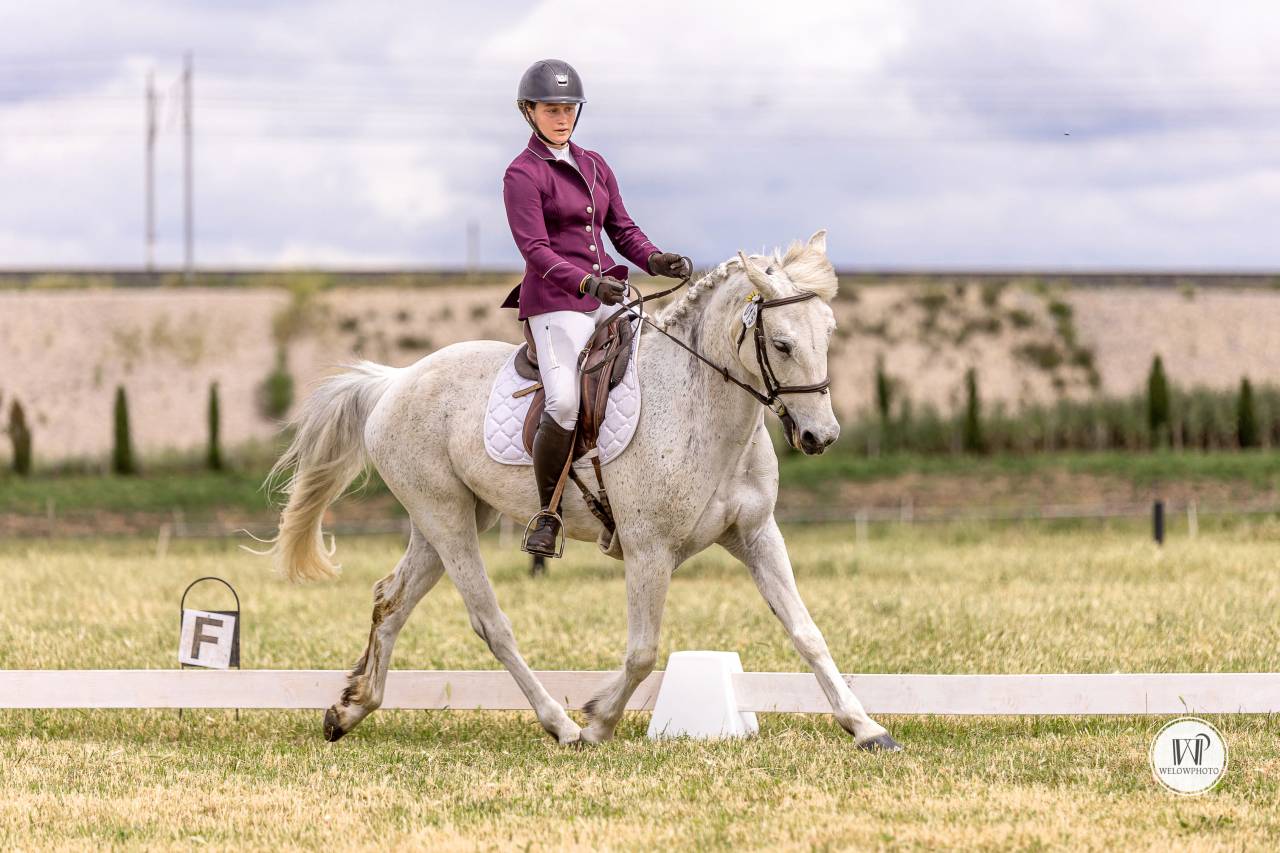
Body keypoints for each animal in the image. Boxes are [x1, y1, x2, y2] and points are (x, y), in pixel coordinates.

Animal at [252, 229, 902, 751]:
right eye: (783, 344)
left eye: (830, 333)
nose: (821, 436)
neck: (701, 406)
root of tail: (395, 379)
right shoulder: (648, 549)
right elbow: (642, 652)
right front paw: (597, 720)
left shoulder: (756, 535)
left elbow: (807, 633)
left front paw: (866, 727)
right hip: (446, 518)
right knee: (490, 621)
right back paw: (560, 726)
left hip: (446, 519)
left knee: (390, 600)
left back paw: (349, 708)